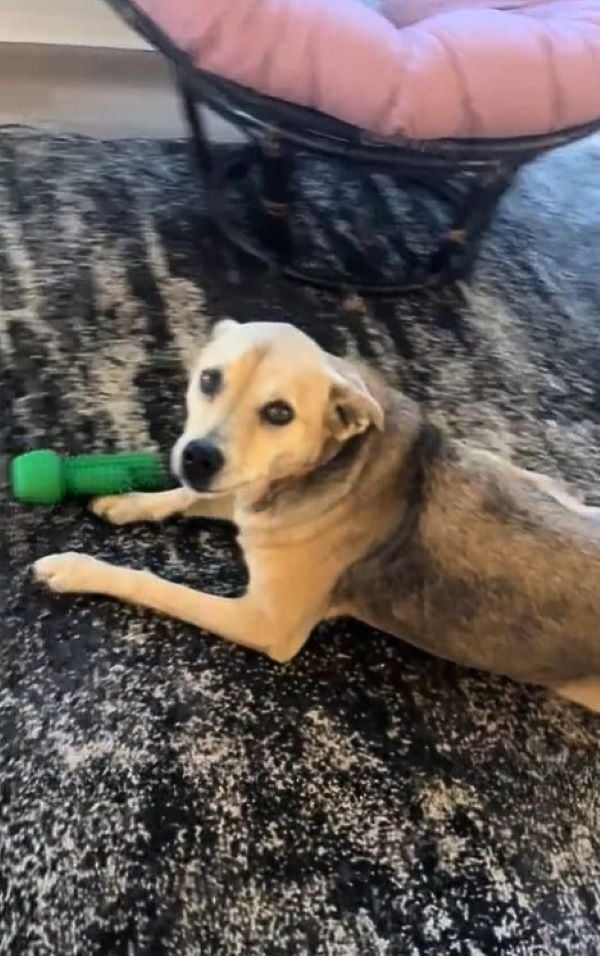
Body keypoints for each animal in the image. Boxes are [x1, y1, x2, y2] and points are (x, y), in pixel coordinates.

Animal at [34, 320, 600, 708]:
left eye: (279, 413)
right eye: (209, 379)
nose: (198, 456)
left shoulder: (266, 623)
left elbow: (153, 583)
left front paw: (77, 568)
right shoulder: (242, 495)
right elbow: (187, 496)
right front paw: (128, 499)